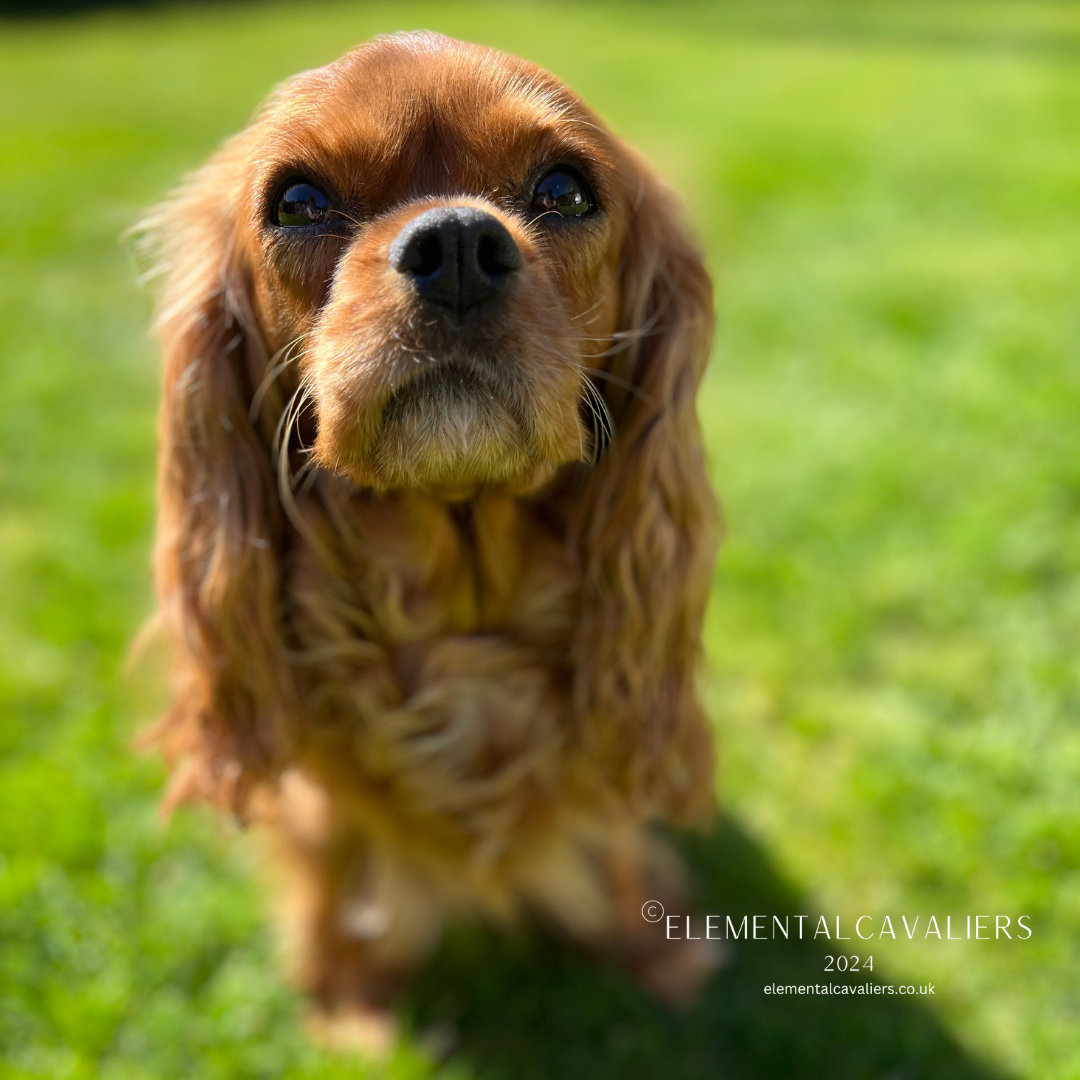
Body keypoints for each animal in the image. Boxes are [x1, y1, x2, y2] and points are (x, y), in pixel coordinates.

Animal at [139, 31, 721, 1045]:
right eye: (298, 201)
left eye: (566, 190)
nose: (455, 245)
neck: (464, 598)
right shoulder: (319, 801)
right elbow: (334, 871)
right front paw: (348, 1002)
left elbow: (608, 835)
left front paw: (651, 951)